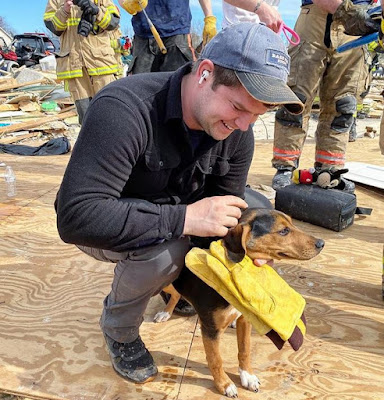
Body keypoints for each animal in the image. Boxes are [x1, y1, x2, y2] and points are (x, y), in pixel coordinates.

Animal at [153, 209, 324, 396]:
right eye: (283, 231)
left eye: (292, 223)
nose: (321, 243)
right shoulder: (210, 330)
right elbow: (215, 359)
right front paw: (224, 384)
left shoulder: (245, 319)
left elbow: (244, 350)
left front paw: (247, 376)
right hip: (165, 280)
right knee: (173, 292)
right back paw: (165, 312)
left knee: (177, 293)